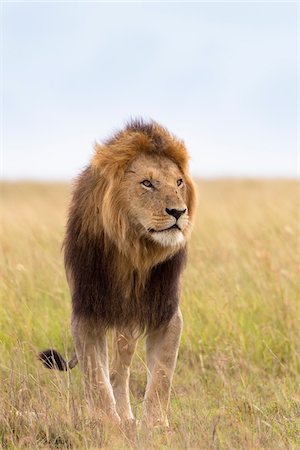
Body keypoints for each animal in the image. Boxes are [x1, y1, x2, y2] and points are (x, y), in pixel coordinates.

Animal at [39, 119, 197, 428]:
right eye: (147, 183)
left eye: (179, 182)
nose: (178, 212)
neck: (134, 251)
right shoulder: (87, 311)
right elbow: (95, 377)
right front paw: (107, 423)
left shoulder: (166, 312)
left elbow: (161, 377)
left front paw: (155, 426)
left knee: (120, 367)